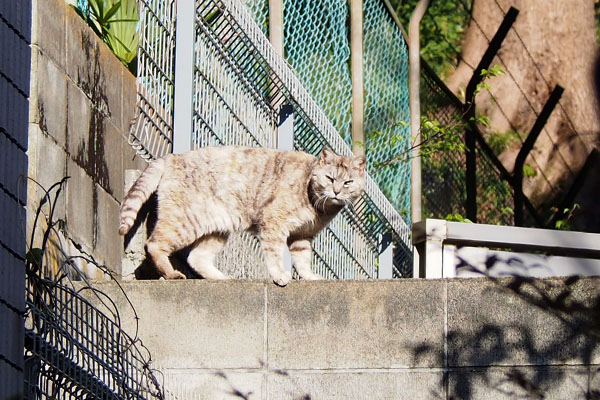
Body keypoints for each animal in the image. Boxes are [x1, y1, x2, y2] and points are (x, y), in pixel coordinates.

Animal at [115, 145, 364, 286]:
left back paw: (222, 278)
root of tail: (172, 157)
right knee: (154, 244)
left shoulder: (302, 236)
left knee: (197, 257)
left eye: (348, 182)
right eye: (330, 178)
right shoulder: (273, 224)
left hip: (217, 229)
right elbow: (275, 255)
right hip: (184, 221)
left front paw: (310, 277)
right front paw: (280, 275)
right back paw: (172, 274)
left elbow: (303, 260)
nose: (336, 191)